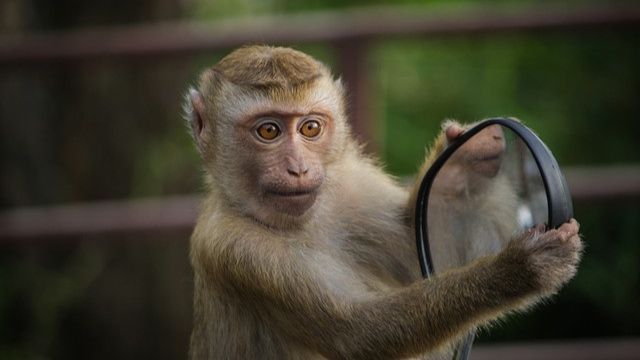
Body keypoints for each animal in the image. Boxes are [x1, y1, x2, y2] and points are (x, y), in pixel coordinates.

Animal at [182, 46, 584, 358]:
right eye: (268, 131)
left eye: (310, 128)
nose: (298, 168)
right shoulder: (235, 249)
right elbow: (358, 333)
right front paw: (516, 270)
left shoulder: (351, 185)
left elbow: (418, 250)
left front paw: (463, 160)